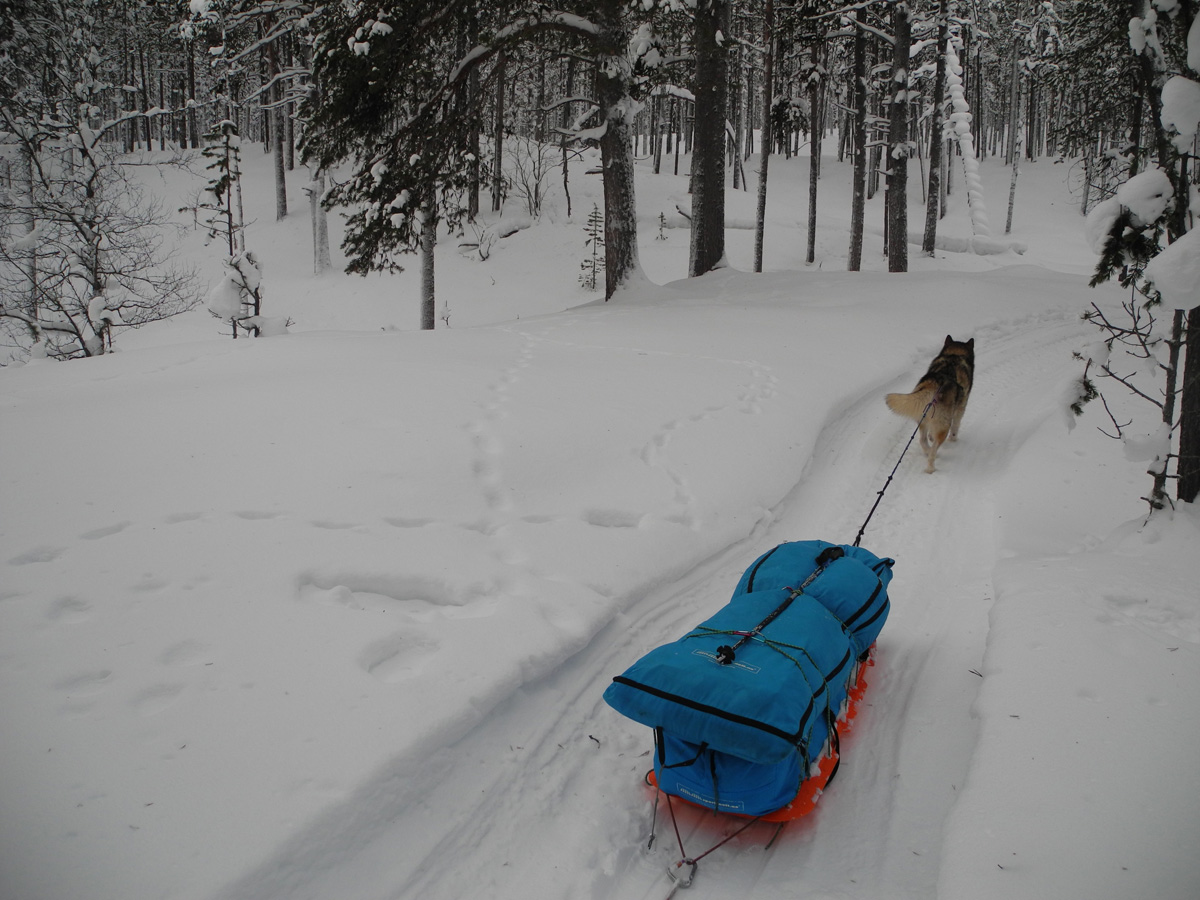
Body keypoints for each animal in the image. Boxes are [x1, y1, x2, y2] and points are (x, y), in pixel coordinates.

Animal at [883, 336, 974, 475]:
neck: (954, 356)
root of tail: (935, 383)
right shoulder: (960, 409)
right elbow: (955, 428)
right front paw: (953, 440)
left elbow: (929, 435)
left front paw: (931, 437)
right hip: (944, 426)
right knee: (934, 448)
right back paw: (930, 467)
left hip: (923, 420)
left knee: (922, 440)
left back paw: (928, 450)